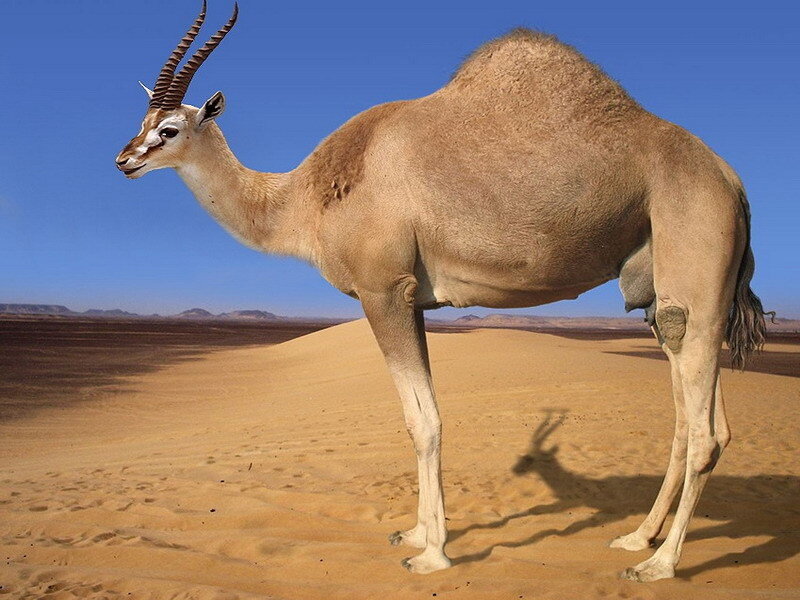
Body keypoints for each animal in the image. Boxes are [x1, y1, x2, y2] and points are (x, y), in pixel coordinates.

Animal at [116, 2, 769, 582]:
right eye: (142, 123)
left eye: (169, 129)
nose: (124, 159)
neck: (305, 198)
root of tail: (733, 182)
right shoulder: (416, 301)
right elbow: (422, 414)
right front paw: (416, 533)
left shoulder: (383, 289)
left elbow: (421, 420)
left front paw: (432, 556)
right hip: (665, 302)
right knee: (691, 417)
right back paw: (636, 537)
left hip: (695, 279)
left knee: (705, 431)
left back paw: (659, 565)